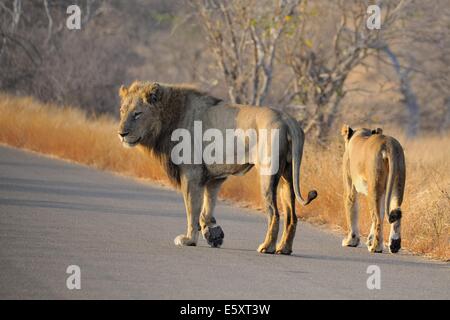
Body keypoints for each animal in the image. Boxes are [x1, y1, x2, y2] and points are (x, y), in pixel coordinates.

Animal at [118, 81, 318, 254]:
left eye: (137, 114)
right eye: (122, 111)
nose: (121, 133)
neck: (170, 116)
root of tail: (288, 120)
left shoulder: (191, 175)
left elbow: (192, 210)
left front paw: (189, 240)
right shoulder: (215, 178)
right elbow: (205, 211)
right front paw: (214, 235)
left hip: (268, 173)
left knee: (274, 213)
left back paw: (267, 247)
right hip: (287, 176)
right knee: (291, 215)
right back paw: (284, 248)